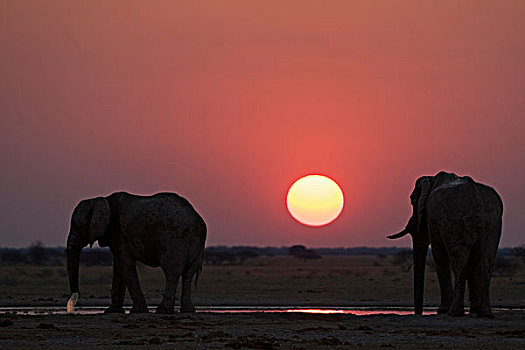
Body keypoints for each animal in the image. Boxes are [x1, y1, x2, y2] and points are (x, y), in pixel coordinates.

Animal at [64, 191, 206, 314]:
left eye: (77, 226)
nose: (72, 305)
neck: (102, 200)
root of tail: (197, 220)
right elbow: (119, 266)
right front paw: (112, 311)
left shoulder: (118, 231)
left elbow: (125, 264)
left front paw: (137, 310)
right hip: (195, 243)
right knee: (188, 273)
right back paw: (188, 310)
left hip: (173, 239)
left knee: (172, 271)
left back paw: (163, 311)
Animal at [386, 171, 502, 318]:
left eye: (412, 201)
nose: (418, 314)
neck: (431, 178)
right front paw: (474, 310)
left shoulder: (432, 218)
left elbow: (439, 255)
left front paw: (442, 310)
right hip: (492, 225)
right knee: (485, 263)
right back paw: (485, 314)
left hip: (455, 222)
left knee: (459, 263)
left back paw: (454, 313)